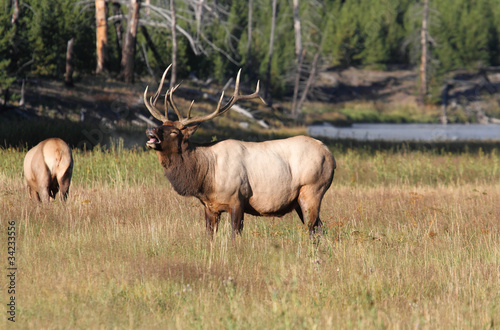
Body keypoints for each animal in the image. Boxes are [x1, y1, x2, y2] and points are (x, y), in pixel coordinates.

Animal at [146, 65, 338, 237]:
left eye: (174, 132)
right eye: (161, 124)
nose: (150, 130)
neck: (206, 177)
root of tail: (330, 154)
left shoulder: (237, 200)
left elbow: (235, 235)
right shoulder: (210, 206)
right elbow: (209, 236)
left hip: (312, 189)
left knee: (313, 228)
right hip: (299, 200)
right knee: (319, 228)